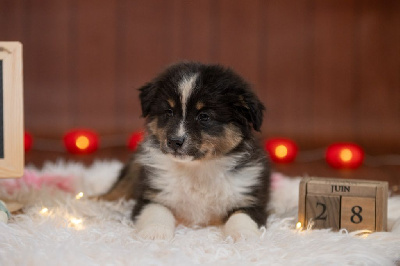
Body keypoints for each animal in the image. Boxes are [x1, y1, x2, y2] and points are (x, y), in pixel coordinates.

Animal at [101, 62, 272, 241]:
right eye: (168, 112)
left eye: (204, 116)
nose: (174, 141)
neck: (197, 169)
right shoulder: (152, 193)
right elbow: (157, 211)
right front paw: (155, 234)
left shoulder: (251, 197)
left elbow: (241, 216)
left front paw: (244, 236)